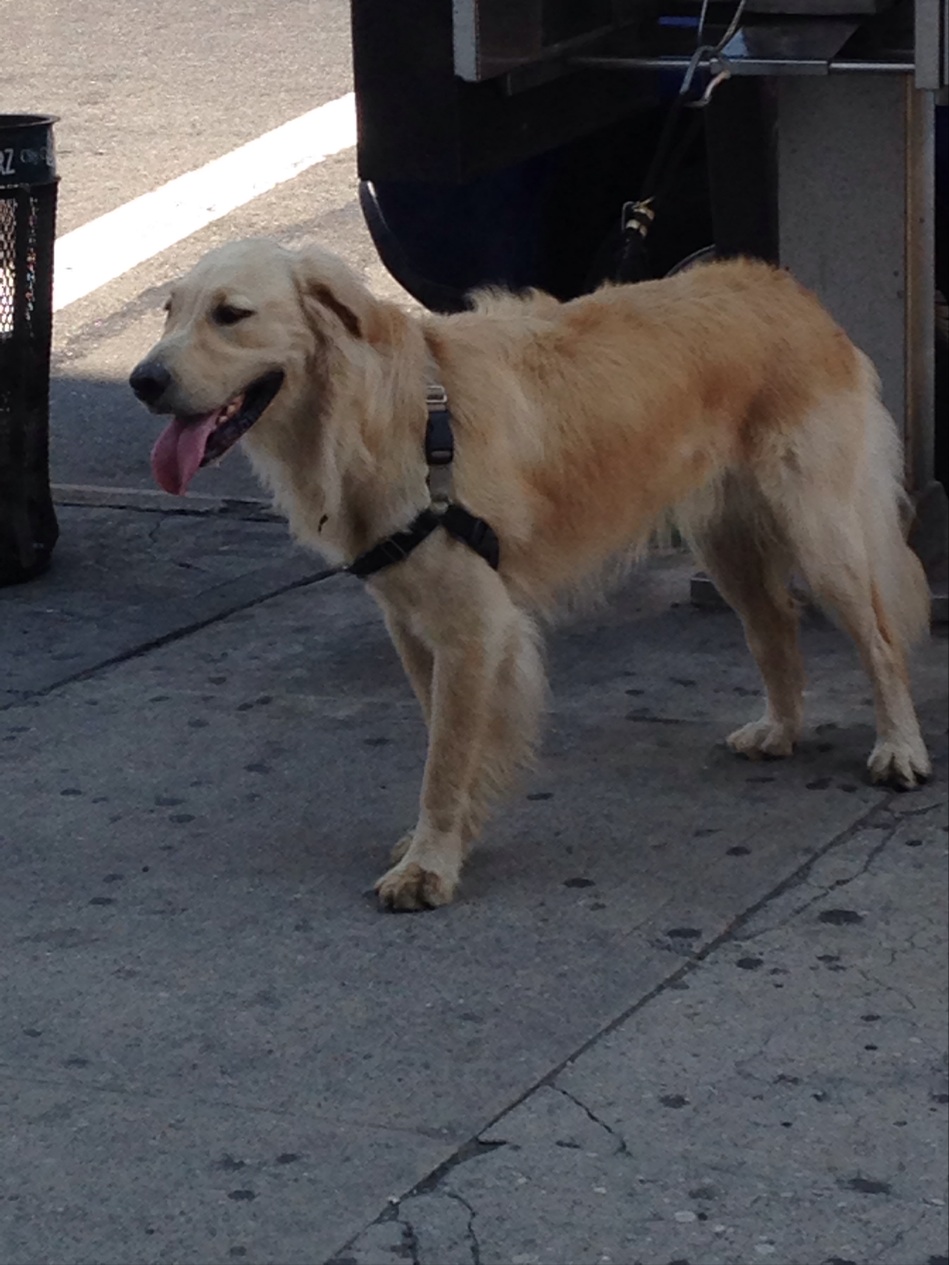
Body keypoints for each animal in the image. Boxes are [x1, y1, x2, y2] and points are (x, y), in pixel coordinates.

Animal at [130, 237, 931, 910]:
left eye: (231, 315)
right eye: (169, 312)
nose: (143, 380)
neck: (381, 418)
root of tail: (782, 286)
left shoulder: (472, 627)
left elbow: (446, 755)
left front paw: (429, 864)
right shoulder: (413, 626)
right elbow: (447, 737)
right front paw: (450, 839)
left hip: (819, 534)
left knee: (880, 641)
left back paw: (899, 747)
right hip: (726, 545)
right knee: (774, 629)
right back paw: (781, 727)